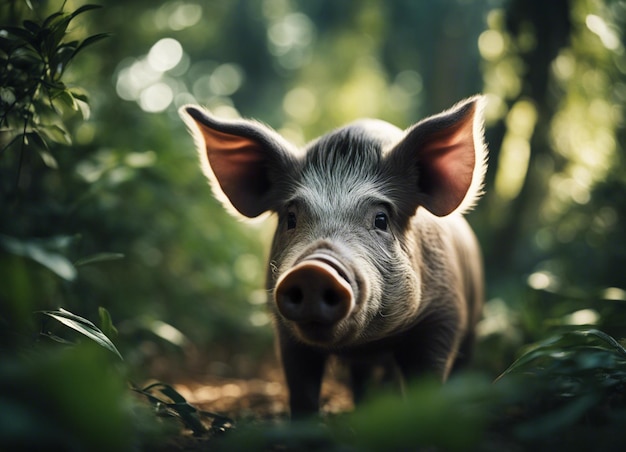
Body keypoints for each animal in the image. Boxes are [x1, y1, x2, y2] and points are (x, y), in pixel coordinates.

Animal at [178, 96, 486, 416]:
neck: (365, 344)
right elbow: (302, 392)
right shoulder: (287, 336)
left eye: (381, 219)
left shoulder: (443, 318)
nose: (314, 271)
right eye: (291, 218)